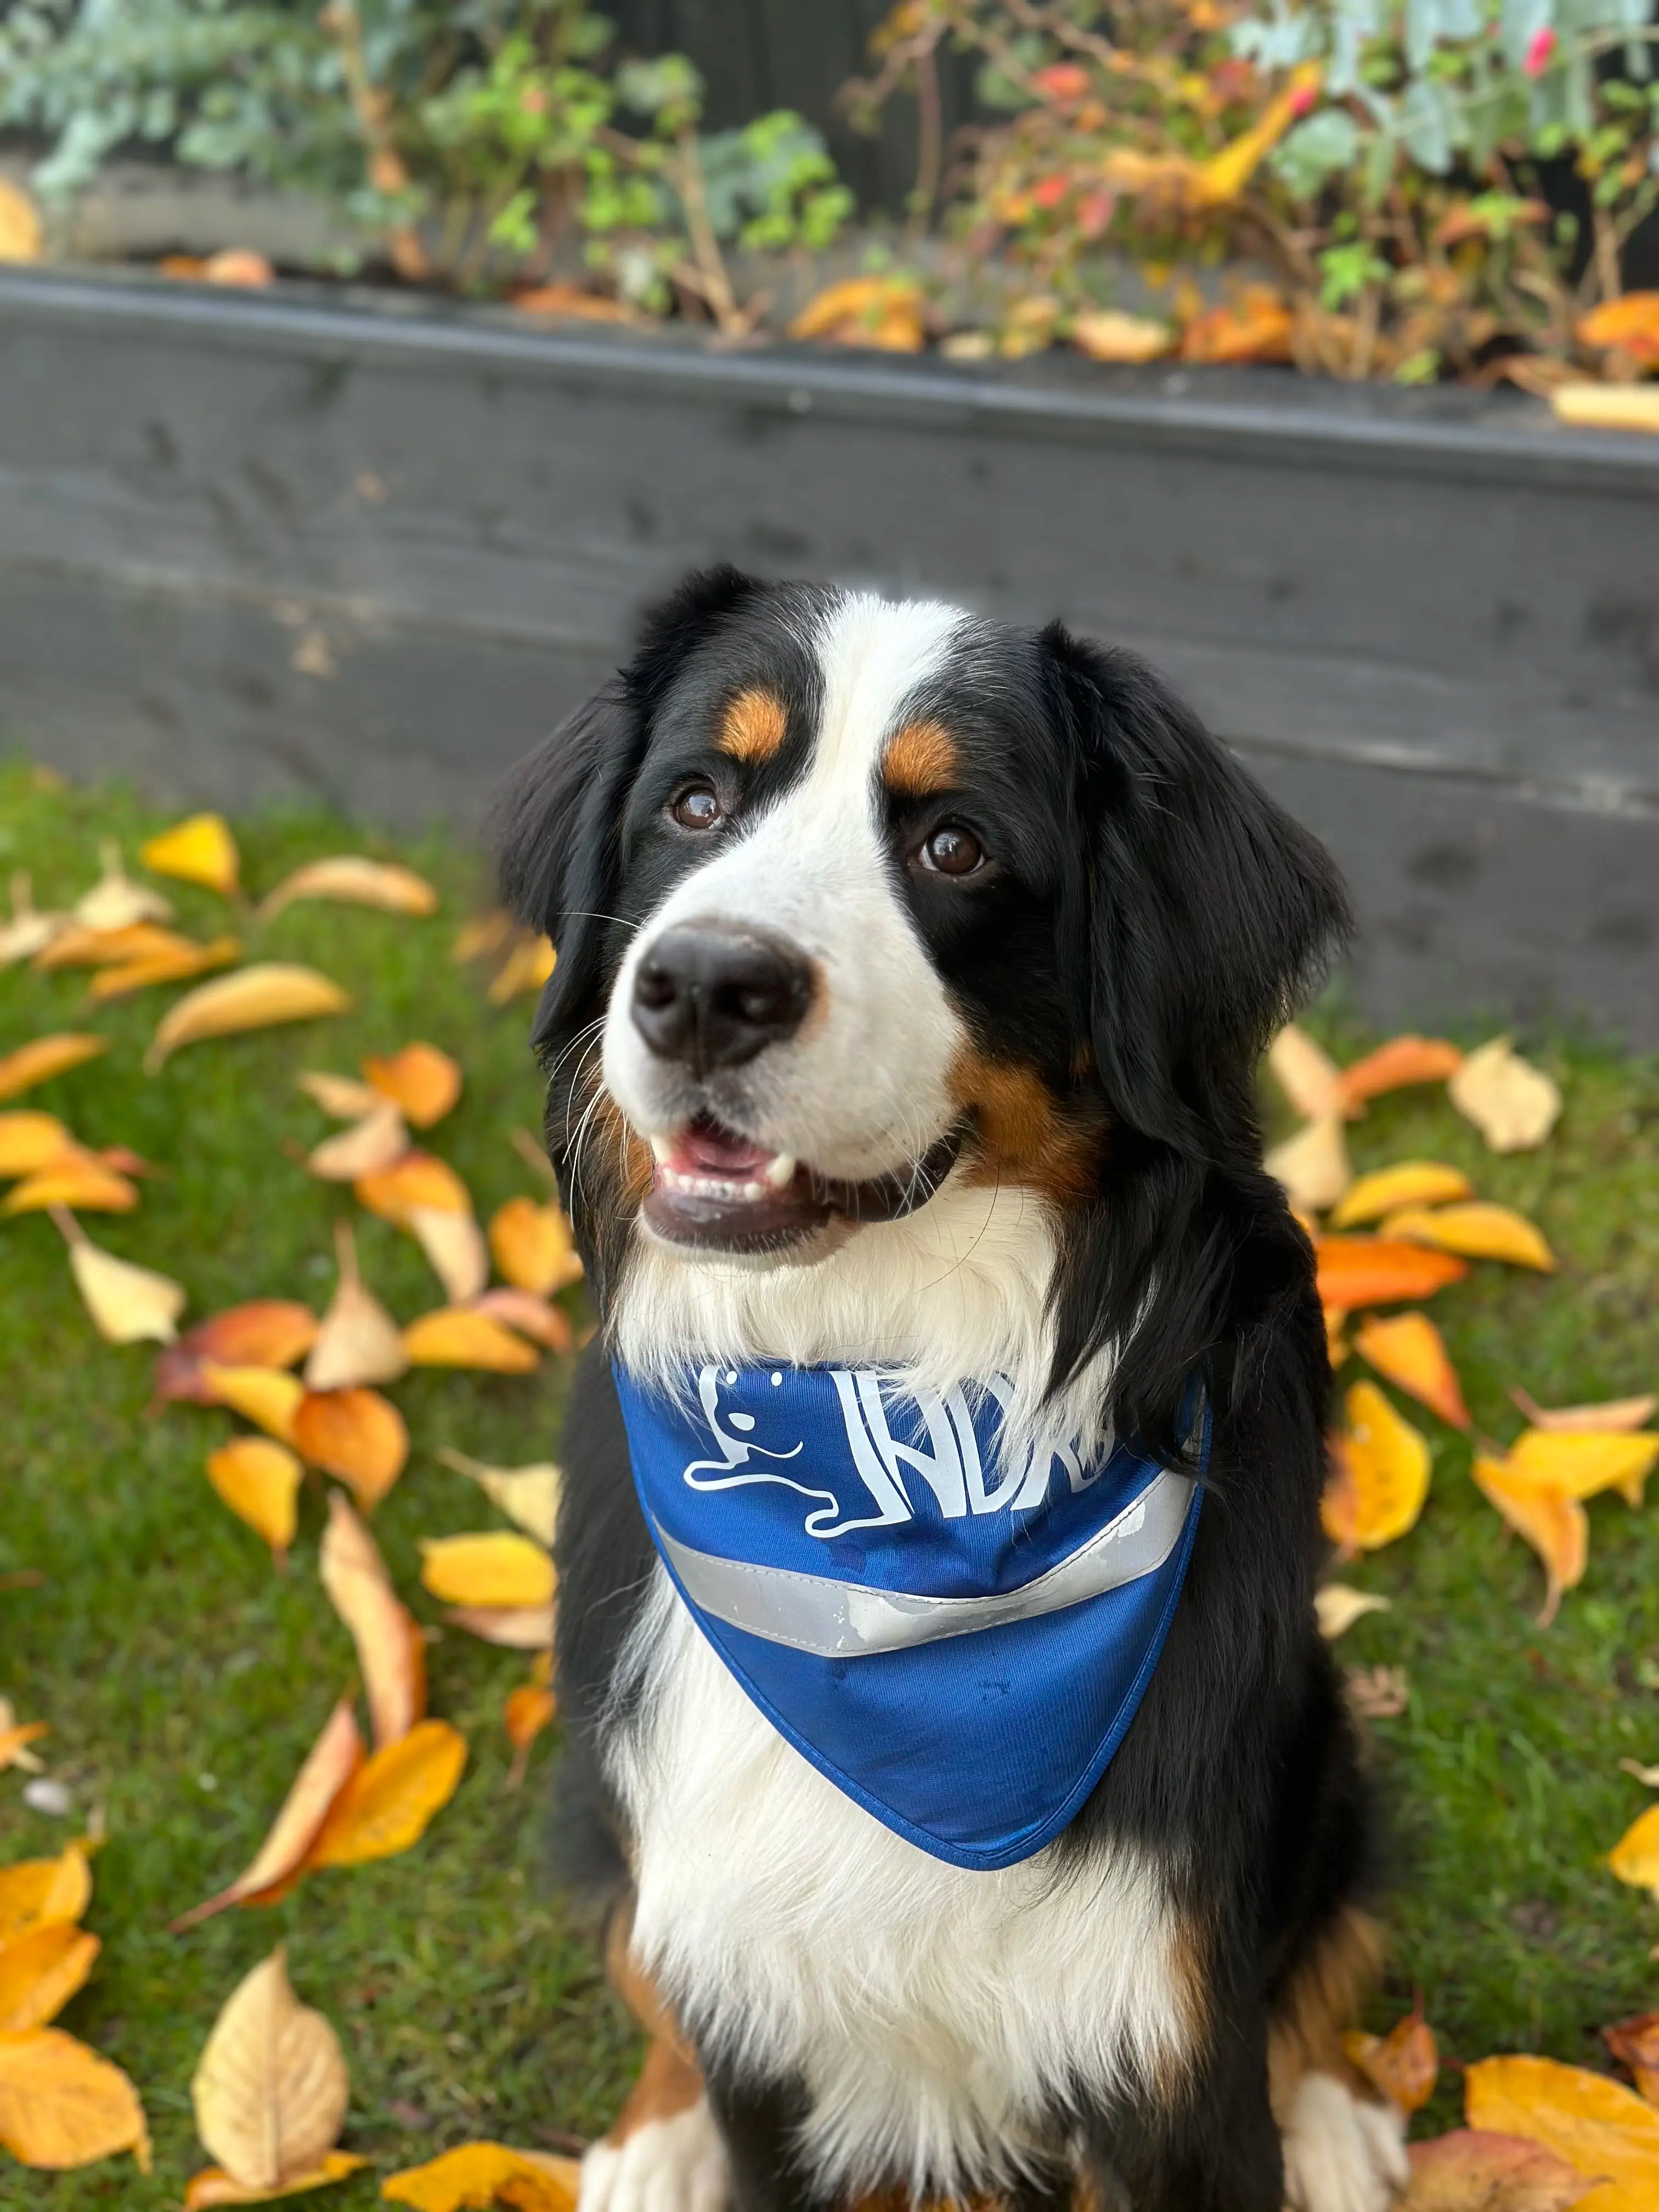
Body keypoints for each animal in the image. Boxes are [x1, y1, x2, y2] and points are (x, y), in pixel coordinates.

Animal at [493, 566, 1407, 2212]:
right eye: (696, 801)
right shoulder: (762, 2021)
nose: (701, 987)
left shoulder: (1159, 2029)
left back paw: (1339, 2125)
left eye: (954, 844)